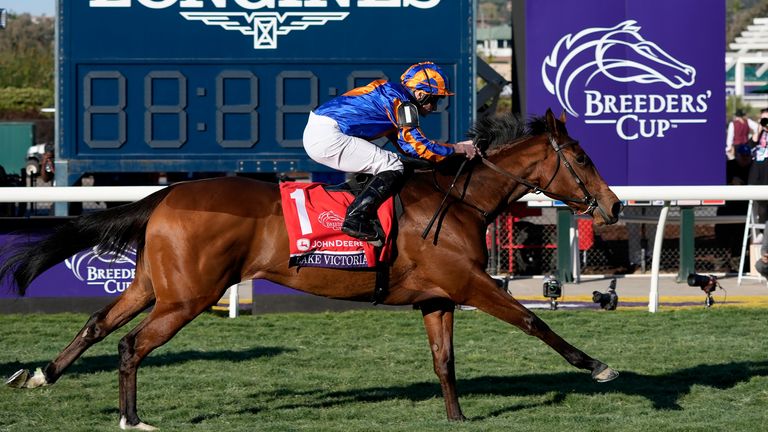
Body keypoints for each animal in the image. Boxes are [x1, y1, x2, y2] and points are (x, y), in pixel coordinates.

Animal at [1, 109, 624, 428]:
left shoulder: (437, 296)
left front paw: (456, 418)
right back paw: (132, 419)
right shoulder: (470, 282)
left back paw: (41, 375)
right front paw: (598, 365)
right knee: (131, 345)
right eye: (583, 158)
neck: (459, 200)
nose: (615, 206)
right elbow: (533, 320)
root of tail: (168, 193)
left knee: (97, 325)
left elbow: (444, 362)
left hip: (156, 285)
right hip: (188, 296)